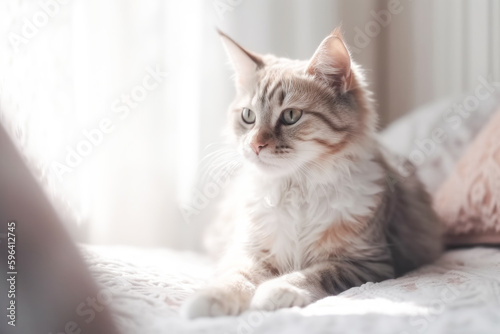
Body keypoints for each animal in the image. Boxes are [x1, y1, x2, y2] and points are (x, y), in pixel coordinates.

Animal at [182, 28, 444, 318]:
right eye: (248, 116)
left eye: (291, 116)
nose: (255, 145)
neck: (297, 188)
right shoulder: (248, 250)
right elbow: (237, 275)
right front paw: (211, 298)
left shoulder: (368, 262)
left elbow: (313, 274)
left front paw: (278, 291)